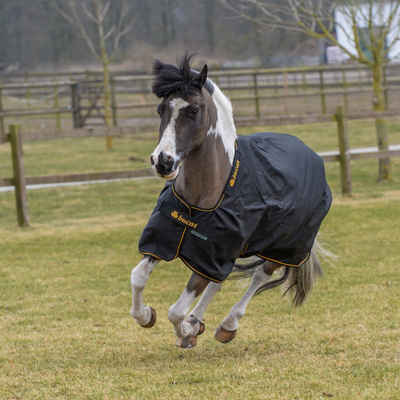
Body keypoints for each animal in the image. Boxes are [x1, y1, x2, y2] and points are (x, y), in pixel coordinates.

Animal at [130, 54, 332, 348]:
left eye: (194, 110)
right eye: (161, 109)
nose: (163, 162)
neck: (201, 201)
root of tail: (311, 154)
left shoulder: (210, 257)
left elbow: (176, 311)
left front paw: (186, 333)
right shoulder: (166, 243)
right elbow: (138, 277)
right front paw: (147, 315)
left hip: (282, 248)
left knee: (258, 277)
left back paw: (226, 325)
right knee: (219, 282)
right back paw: (198, 321)